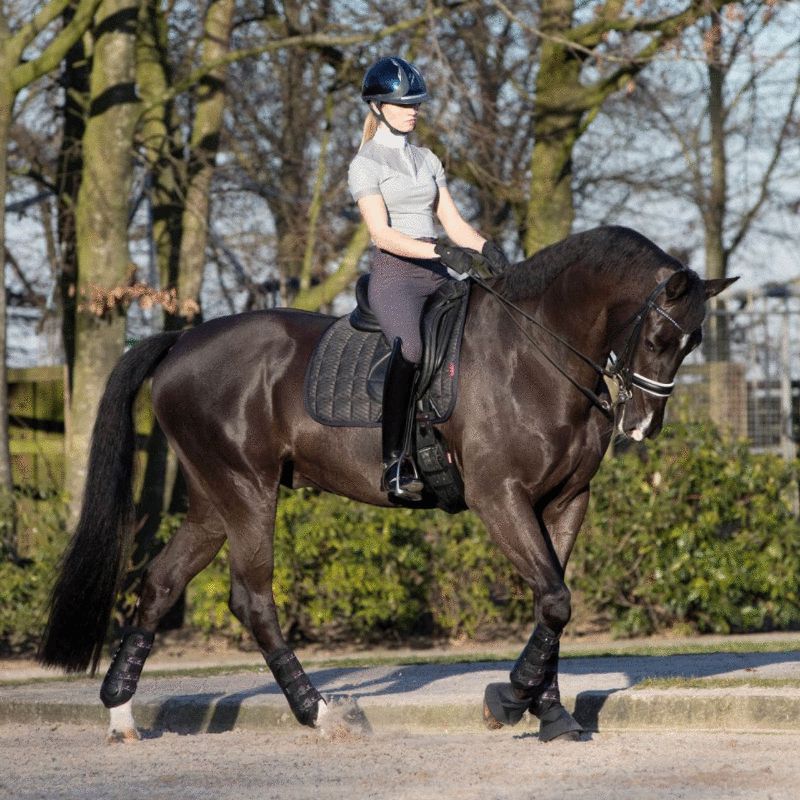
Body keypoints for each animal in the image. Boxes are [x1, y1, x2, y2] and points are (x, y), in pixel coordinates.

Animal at [40, 223, 736, 736]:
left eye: (694, 341)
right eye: (658, 335)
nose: (641, 425)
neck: (536, 354)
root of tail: (183, 341)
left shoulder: (566, 501)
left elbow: (555, 604)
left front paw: (552, 712)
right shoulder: (500, 498)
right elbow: (555, 599)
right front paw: (510, 699)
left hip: (214, 501)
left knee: (160, 584)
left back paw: (121, 715)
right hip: (246, 490)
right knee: (253, 599)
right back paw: (318, 712)